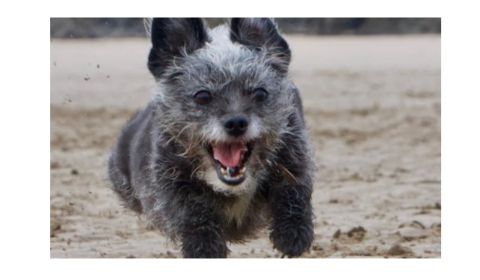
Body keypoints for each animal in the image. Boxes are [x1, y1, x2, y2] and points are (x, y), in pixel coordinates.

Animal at [108, 18, 316, 258]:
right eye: (202, 96)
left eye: (260, 93)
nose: (236, 123)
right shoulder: (174, 184)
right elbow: (193, 212)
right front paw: (204, 247)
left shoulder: (294, 155)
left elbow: (293, 189)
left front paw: (292, 232)